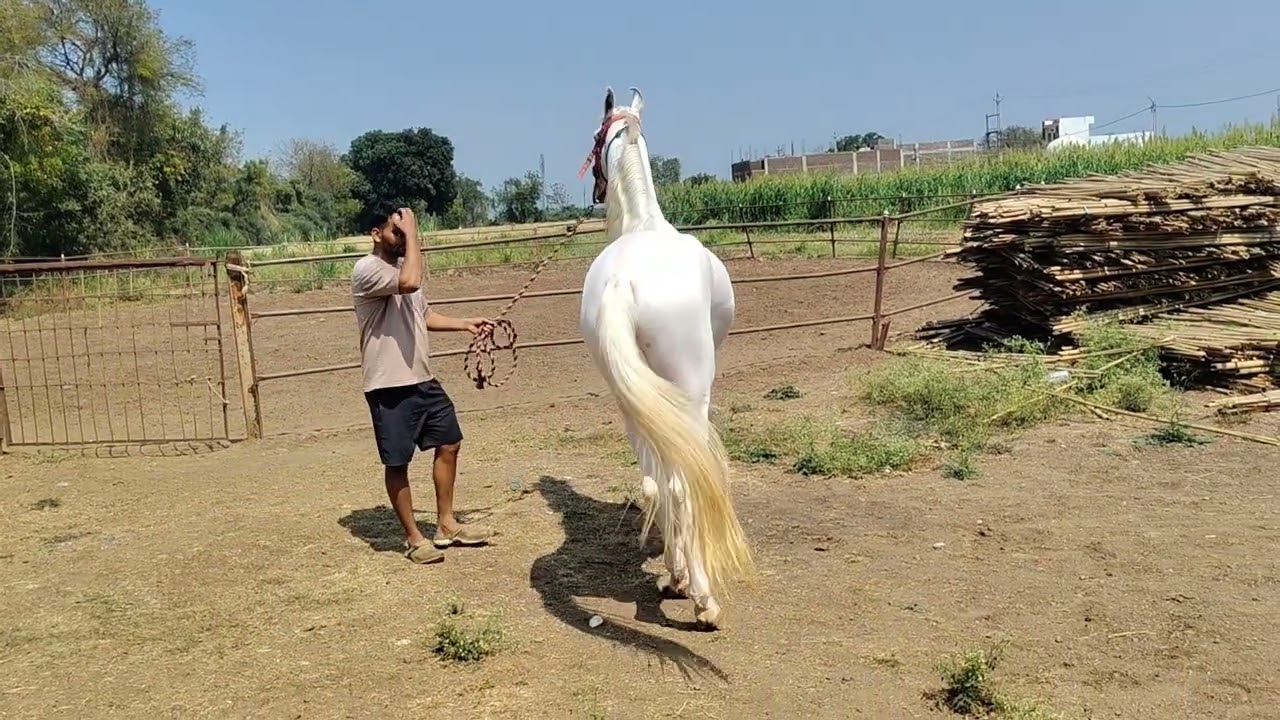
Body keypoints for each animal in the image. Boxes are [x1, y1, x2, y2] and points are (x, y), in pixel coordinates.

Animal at [577, 86, 755, 629]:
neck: (645, 223)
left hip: (629, 402)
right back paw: (700, 598)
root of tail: (622, 282)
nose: (596, 193)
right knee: (680, 483)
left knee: (655, 482)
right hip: (690, 394)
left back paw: (677, 577)